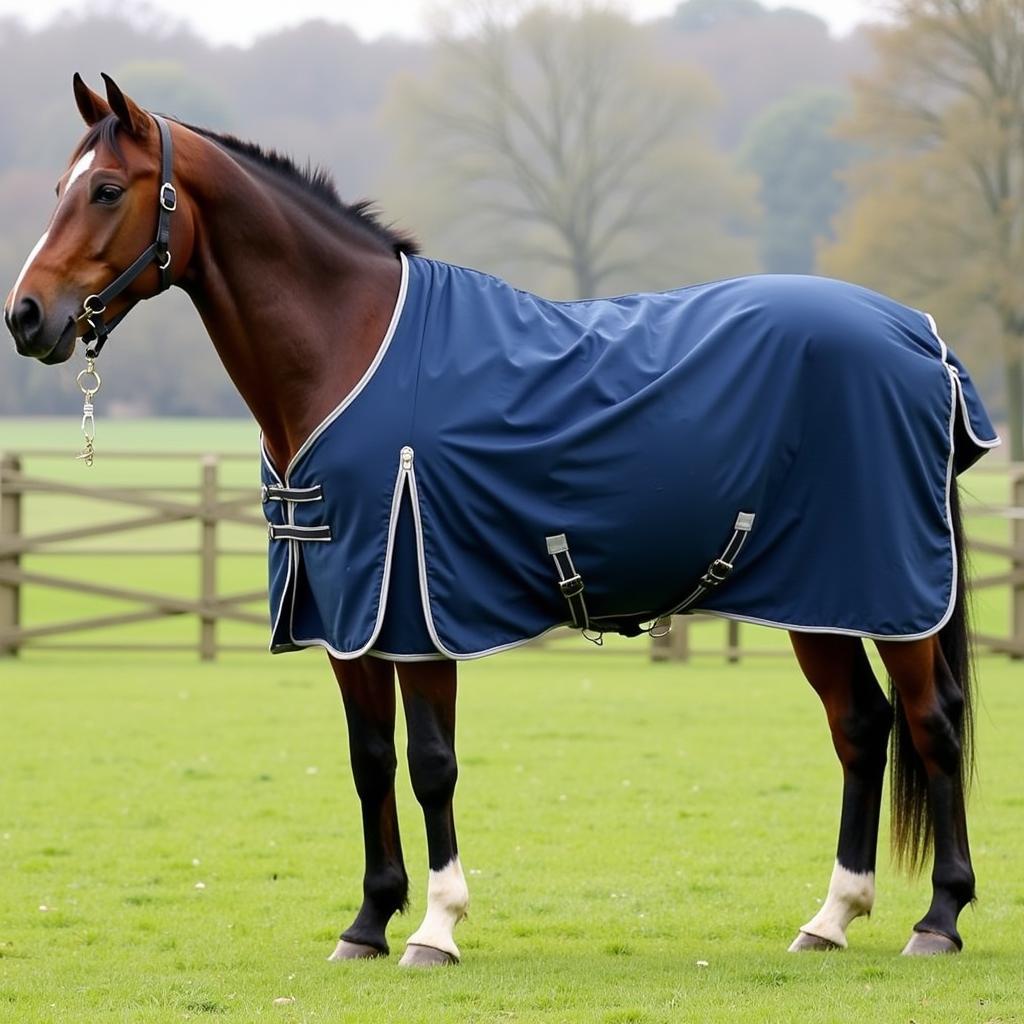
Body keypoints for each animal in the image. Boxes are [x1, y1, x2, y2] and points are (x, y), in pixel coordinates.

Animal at [6, 75, 999, 962]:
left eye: (105, 190)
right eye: (58, 188)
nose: (25, 316)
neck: (346, 344)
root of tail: (922, 339)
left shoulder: (413, 607)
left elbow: (430, 762)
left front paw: (436, 929)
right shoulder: (348, 613)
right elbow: (371, 759)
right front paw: (368, 923)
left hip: (892, 593)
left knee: (932, 722)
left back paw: (939, 919)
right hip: (818, 598)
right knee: (861, 728)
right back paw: (831, 919)